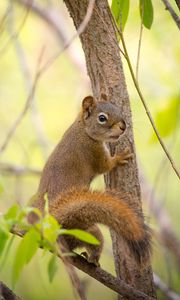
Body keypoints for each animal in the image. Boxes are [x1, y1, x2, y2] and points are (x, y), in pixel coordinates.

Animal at [28, 95, 151, 264]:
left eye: (118, 109)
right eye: (102, 118)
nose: (123, 126)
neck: (83, 129)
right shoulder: (94, 151)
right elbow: (106, 166)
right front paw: (120, 157)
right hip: (89, 231)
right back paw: (93, 260)